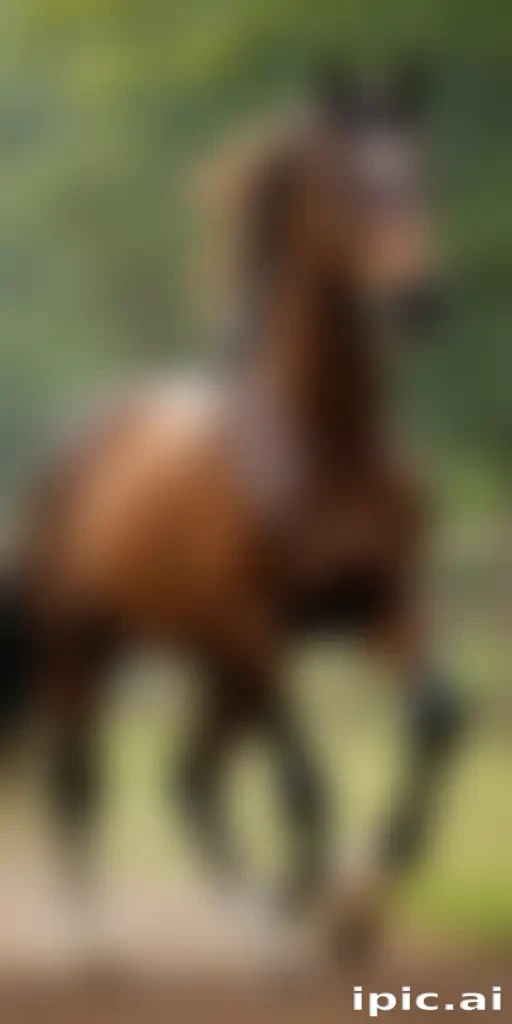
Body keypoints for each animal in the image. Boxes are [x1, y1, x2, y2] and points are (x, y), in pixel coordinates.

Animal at [1, 66, 462, 953]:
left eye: (422, 176)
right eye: (349, 185)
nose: (416, 299)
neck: (319, 451)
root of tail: (72, 439)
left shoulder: (386, 601)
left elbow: (435, 719)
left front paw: (357, 899)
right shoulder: (256, 628)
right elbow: (304, 783)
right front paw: (327, 909)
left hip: (212, 667)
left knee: (191, 779)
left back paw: (252, 911)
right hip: (89, 645)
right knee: (82, 780)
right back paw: (96, 941)